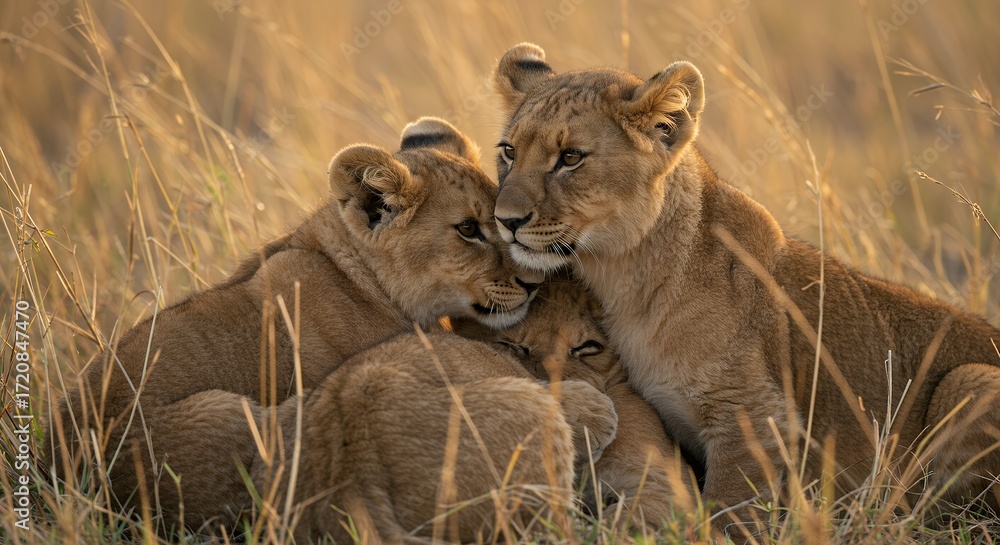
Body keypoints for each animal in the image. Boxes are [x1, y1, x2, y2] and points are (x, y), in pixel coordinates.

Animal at [488, 42, 1000, 531]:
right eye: (509, 151)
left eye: (570, 157)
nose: (504, 221)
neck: (625, 278)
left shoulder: (755, 416)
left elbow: (726, 512)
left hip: (970, 379)